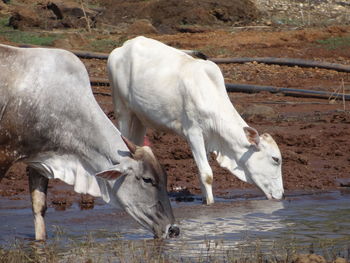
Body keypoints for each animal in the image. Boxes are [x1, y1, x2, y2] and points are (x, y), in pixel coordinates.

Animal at [107, 36, 284, 206]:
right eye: (276, 159)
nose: (281, 194)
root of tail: (124, 46)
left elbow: (201, 173)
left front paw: (206, 201)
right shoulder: (193, 133)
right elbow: (207, 174)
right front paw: (210, 204)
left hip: (140, 118)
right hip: (122, 109)